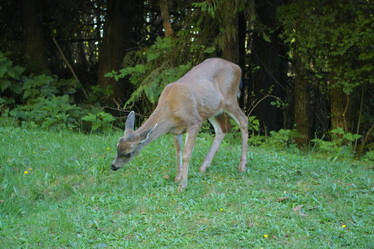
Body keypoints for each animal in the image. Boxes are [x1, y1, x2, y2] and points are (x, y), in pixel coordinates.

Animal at [111, 57, 248, 192]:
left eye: (128, 153)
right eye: (117, 147)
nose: (113, 166)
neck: (171, 110)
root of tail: (238, 68)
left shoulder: (194, 122)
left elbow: (187, 153)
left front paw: (183, 185)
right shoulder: (176, 130)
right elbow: (178, 151)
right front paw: (177, 178)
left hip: (230, 99)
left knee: (244, 120)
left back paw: (241, 166)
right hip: (212, 109)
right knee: (222, 129)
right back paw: (203, 167)